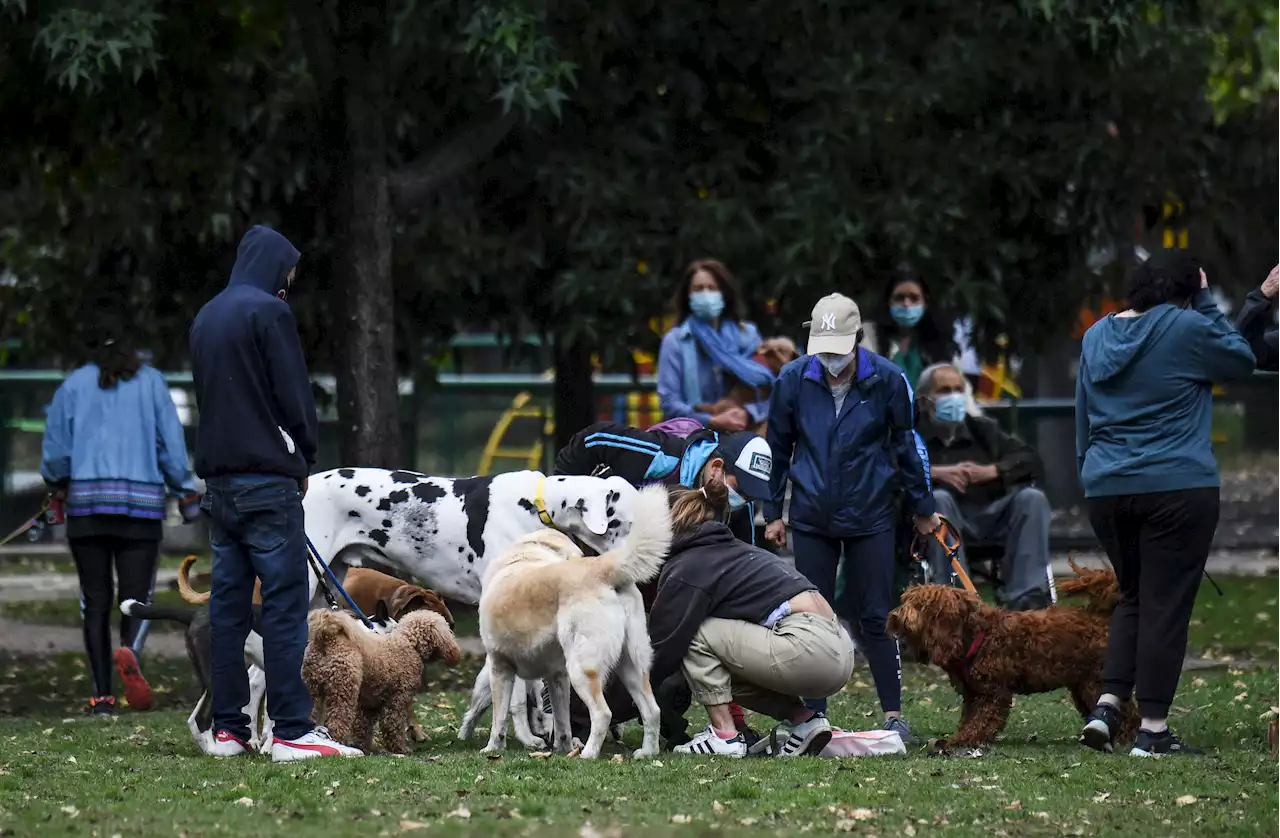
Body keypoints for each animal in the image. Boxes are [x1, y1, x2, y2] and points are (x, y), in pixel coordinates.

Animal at [302, 608, 463, 752]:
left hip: (312, 689)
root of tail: (327, 637)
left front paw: (362, 746)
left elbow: (363, 727)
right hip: (343, 690)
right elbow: (393, 725)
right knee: (337, 721)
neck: (408, 642)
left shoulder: (369, 703)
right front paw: (400, 749)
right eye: (446, 628)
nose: (455, 652)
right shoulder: (397, 699)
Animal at [481, 486, 675, 762]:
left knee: (603, 713)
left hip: (582, 670)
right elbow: (562, 721)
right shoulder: (557, 676)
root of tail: (602, 567)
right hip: (632, 667)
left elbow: (499, 718)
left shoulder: (499, 667)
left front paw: (492, 749)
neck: (528, 552)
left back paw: (589, 754)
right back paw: (647, 752)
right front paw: (562, 748)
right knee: (652, 710)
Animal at [890, 578, 1141, 747]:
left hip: (1094, 683)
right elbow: (969, 717)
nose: (894, 616)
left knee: (1127, 712)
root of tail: (1102, 619)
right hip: (1082, 686)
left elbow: (981, 720)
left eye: (919, 605)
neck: (976, 635)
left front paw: (963, 740)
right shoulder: (973, 693)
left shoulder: (992, 693)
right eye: (906, 600)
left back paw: (1124, 737)